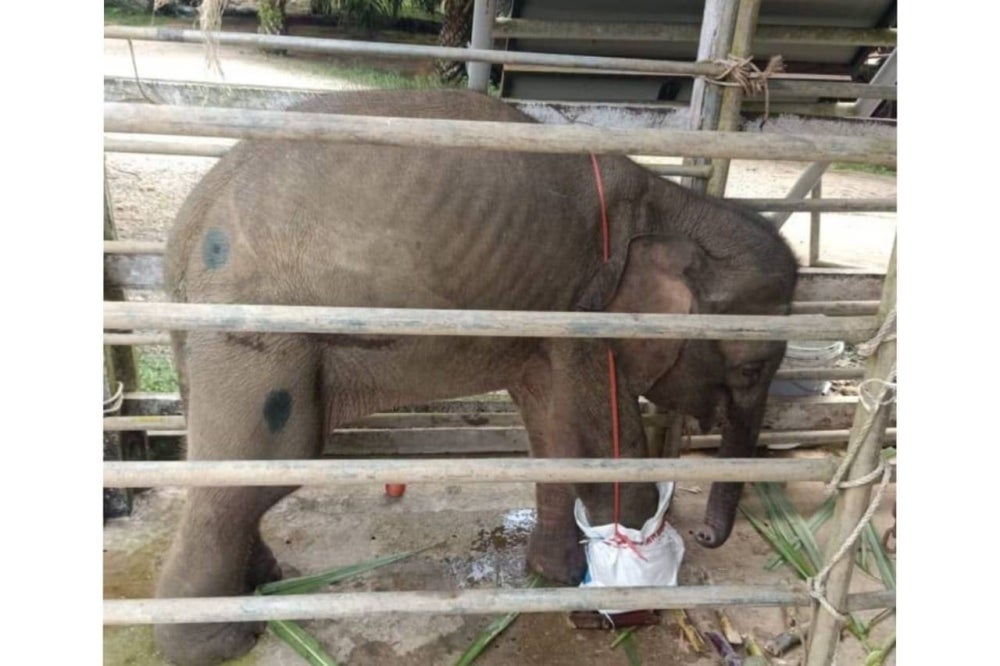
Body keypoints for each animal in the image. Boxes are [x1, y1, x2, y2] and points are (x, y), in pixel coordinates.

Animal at [154, 89, 798, 665]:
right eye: (752, 367)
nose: (708, 537)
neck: (669, 202)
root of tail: (186, 228)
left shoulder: (550, 313)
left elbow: (555, 432)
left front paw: (554, 577)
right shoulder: (589, 306)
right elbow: (601, 438)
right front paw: (628, 596)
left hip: (204, 341)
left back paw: (260, 584)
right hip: (260, 339)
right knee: (259, 471)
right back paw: (222, 642)